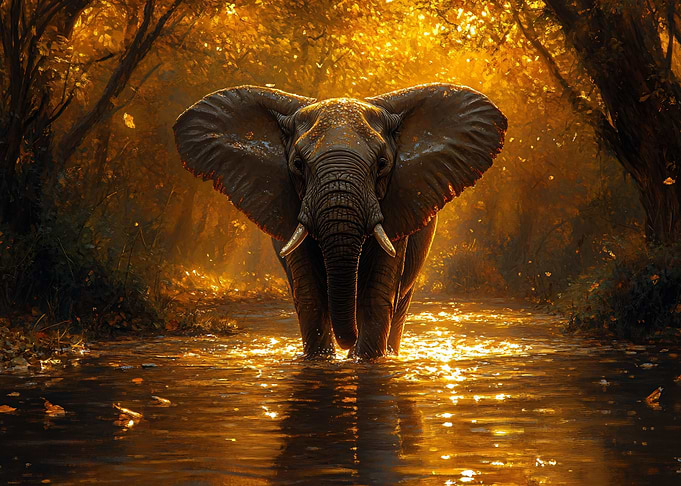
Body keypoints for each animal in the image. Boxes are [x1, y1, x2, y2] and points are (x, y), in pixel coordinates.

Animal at [174, 83, 507, 359]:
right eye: (298, 164)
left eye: (382, 164)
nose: (349, 341)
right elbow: (309, 293)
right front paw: (320, 360)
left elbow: (376, 293)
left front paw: (366, 360)